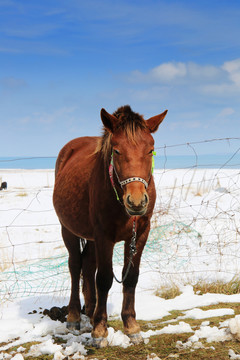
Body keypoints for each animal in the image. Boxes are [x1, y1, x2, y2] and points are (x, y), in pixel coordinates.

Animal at [53, 105, 168, 348]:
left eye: (151, 150)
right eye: (116, 151)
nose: (136, 201)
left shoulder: (140, 233)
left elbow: (131, 276)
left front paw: (131, 327)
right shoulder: (104, 236)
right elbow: (104, 278)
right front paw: (99, 331)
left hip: (92, 237)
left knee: (87, 265)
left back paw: (90, 310)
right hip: (68, 230)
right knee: (75, 265)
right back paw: (75, 316)